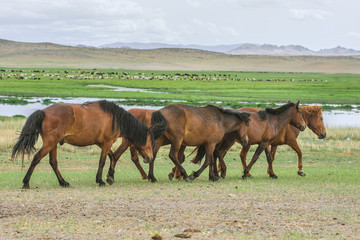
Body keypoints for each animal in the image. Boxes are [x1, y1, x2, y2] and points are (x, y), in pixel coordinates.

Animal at [11, 100, 166, 188]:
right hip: (50, 143)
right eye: (150, 141)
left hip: (53, 144)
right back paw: (26, 182)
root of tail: (43, 112)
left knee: (53, 163)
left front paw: (110, 176)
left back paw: (63, 182)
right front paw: (101, 180)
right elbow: (103, 161)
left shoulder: (102, 144)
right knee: (36, 158)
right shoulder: (107, 143)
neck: (116, 119)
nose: (149, 158)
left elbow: (112, 157)